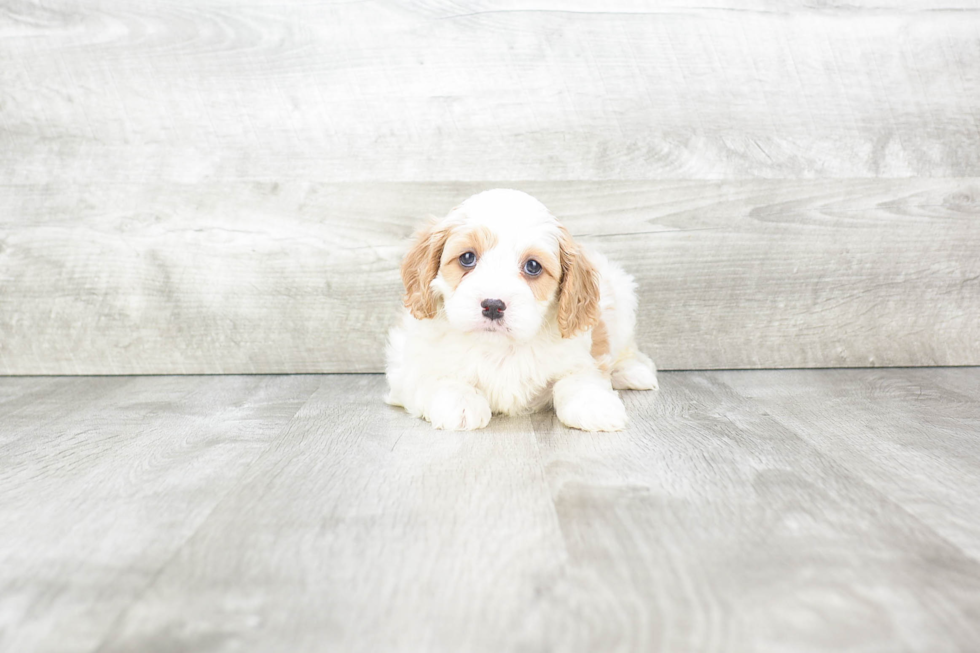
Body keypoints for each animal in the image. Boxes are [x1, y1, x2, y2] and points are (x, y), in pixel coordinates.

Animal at [384, 188, 660, 432]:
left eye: (533, 266)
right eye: (467, 258)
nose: (493, 305)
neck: (500, 348)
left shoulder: (580, 357)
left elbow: (579, 378)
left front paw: (595, 406)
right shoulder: (406, 368)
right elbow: (433, 377)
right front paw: (460, 403)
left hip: (620, 301)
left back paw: (633, 372)